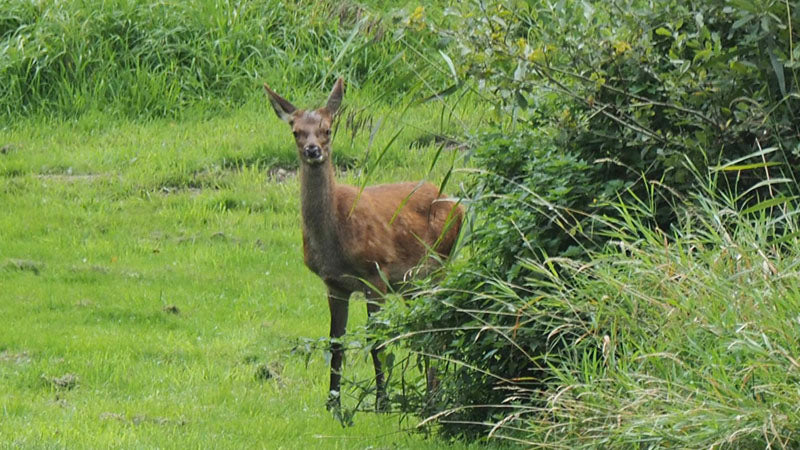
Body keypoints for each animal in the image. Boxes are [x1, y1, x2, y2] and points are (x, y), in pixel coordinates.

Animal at [262, 78, 462, 412]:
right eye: (296, 131)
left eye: (328, 129)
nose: (313, 150)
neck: (335, 244)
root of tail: (458, 204)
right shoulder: (334, 284)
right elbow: (335, 343)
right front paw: (332, 403)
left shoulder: (375, 273)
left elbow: (376, 340)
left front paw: (382, 401)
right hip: (413, 283)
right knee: (424, 327)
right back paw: (430, 394)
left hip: (440, 265)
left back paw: (433, 398)